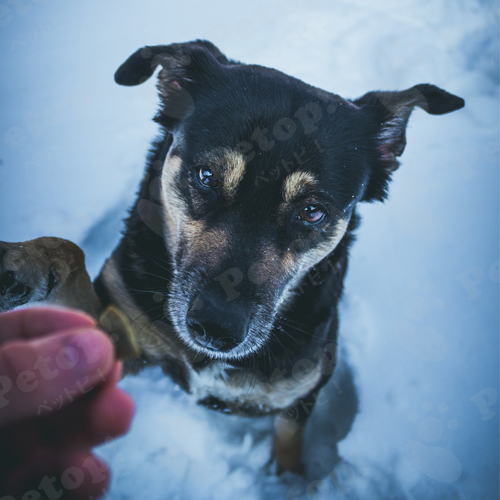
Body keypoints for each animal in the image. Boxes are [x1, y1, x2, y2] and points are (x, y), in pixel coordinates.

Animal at [0, 41, 464, 474]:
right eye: (206, 176)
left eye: (313, 211)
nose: (216, 327)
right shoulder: (115, 333)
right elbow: (70, 251)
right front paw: (23, 264)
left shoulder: (300, 395)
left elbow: (289, 449)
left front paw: (288, 481)